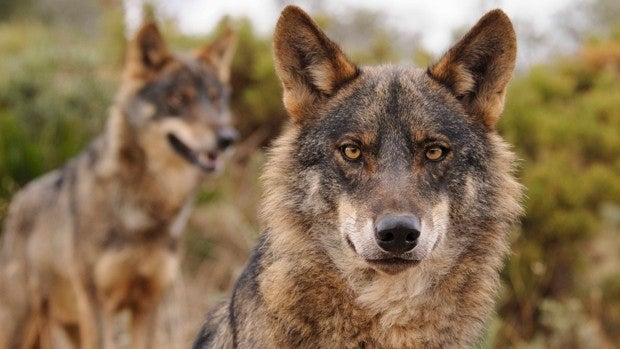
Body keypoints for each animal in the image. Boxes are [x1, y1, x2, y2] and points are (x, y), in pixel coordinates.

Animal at [0, 21, 237, 348]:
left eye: (215, 99)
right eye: (178, 100)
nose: (227, 139)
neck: (146, 211)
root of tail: (18, 198)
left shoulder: (148, 304)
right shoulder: (98, 305)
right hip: (26, 323)